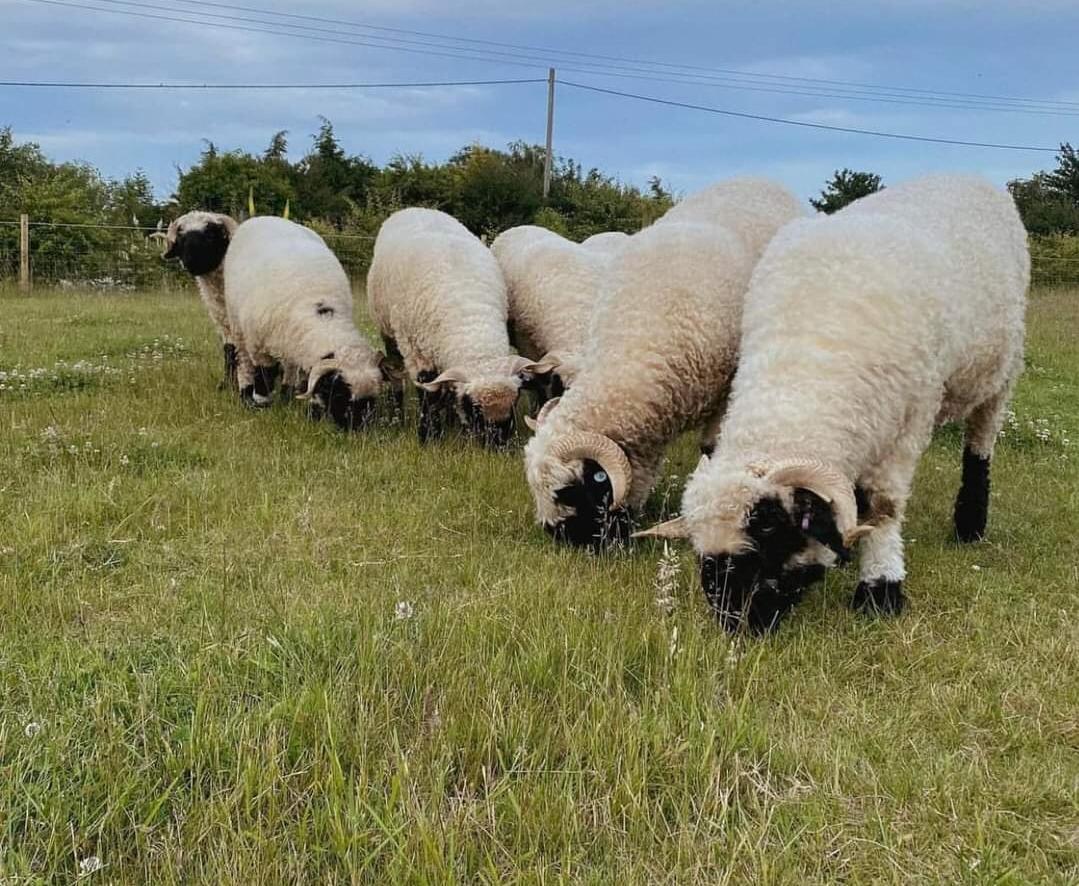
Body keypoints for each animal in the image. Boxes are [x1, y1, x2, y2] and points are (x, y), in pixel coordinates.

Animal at [224, 216, 393, 430]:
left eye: (371, 400)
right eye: (339, 394)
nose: (355, 429)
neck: (321, 316)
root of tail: (263, 217)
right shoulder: (259, 347)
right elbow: (265, 375)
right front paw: (262, 403)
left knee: (289, 365)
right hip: (236, 321)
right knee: (244, 360)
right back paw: (247, 392)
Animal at [367, 207, 553, 447]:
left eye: (516, 399)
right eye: (473, 406)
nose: (498, 444)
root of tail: (418, 208)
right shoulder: (417, 354)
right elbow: (429, 393)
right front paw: (429, 435)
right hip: (390, 333)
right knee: (397, 373)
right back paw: (398, 414)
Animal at [523, 178, 806, 549]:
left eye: (566, 492)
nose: (562, 539)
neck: (638, 346)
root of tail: (760, 179)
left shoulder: (728, 385)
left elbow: (711, 447)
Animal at [637, 175, 1029, 634]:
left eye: (770, 531)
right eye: (702, 551)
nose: (736, 624)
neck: (807, 364)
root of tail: (961, 175)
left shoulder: (910, 420)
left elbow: (884, 507)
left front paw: (880, 588)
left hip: (1001, 371)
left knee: (981, 443)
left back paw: (970, 525)